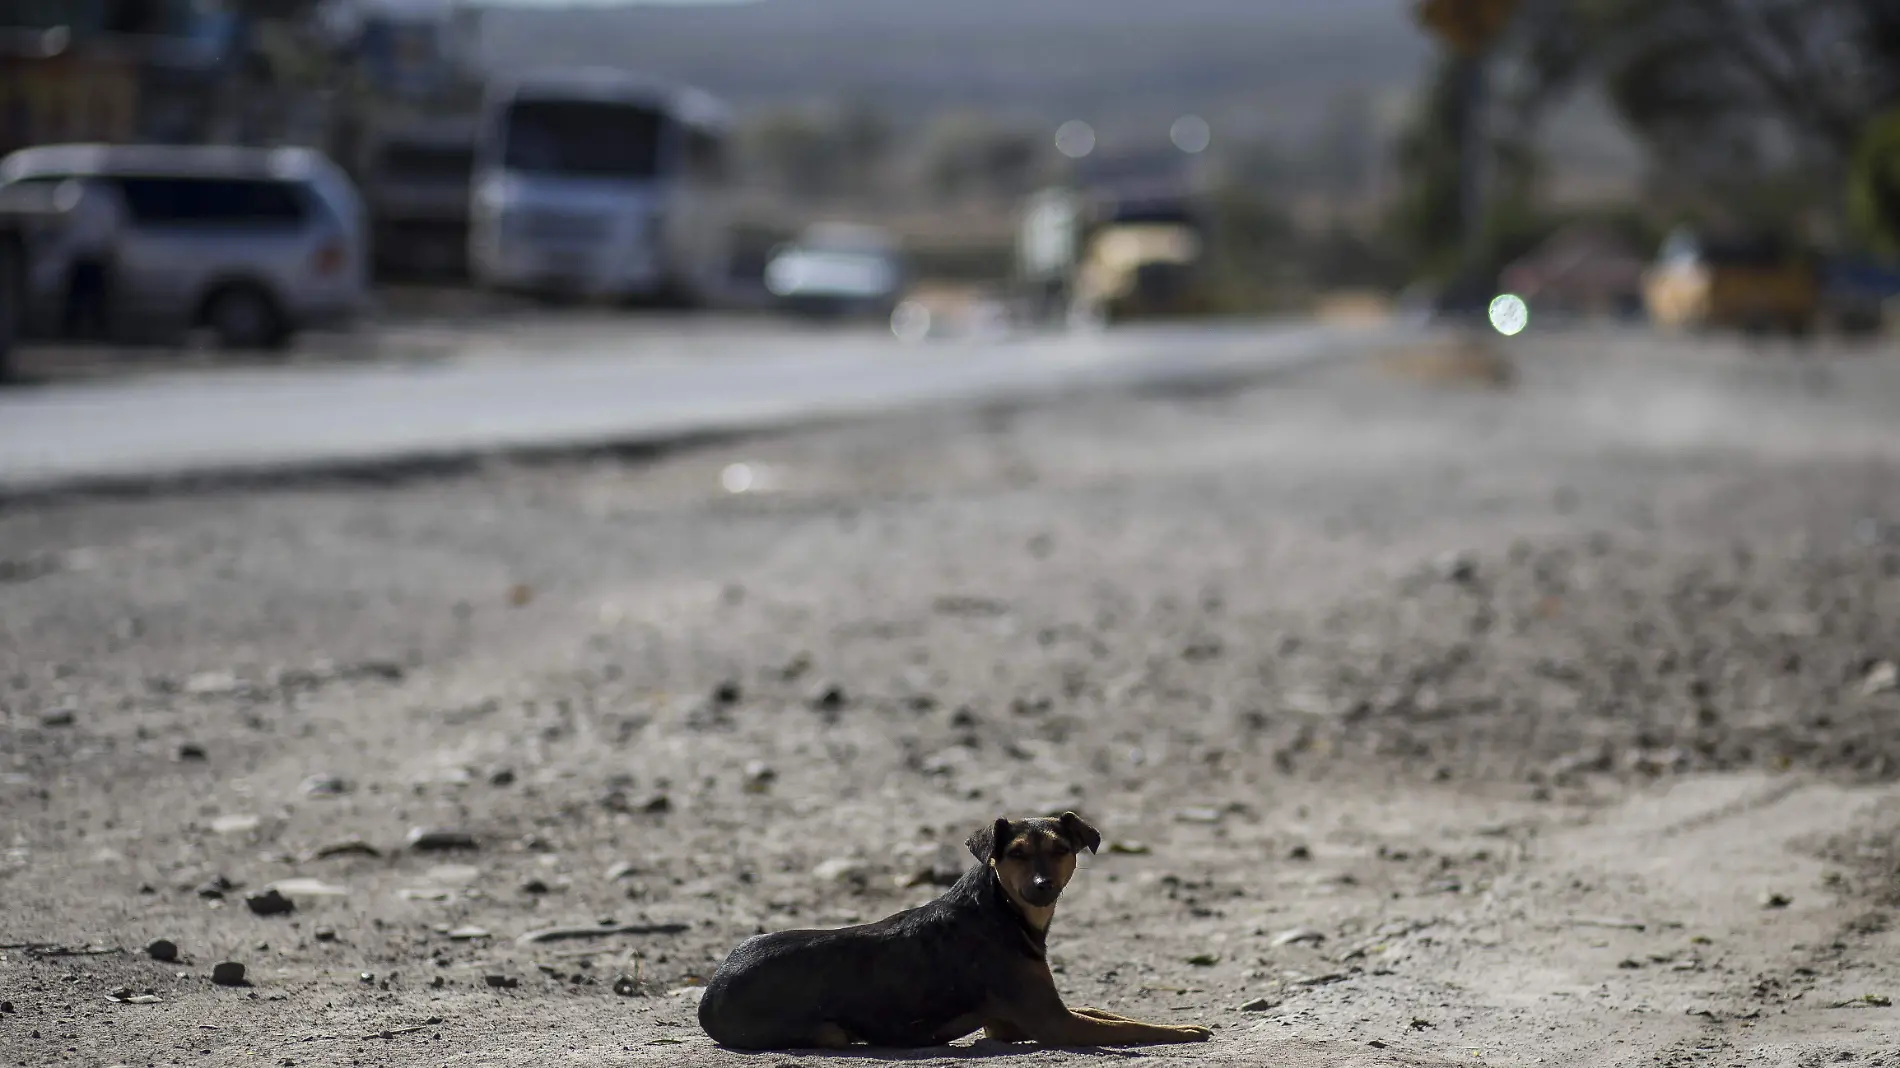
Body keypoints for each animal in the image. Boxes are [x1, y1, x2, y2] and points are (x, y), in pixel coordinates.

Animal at [699, 809, 1216, 1041]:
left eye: (1061, 850)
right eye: (1017, 855)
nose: (1043, 885)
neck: (1002, 910)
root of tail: (708, 997)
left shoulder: (1024, 1018)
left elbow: (1110, 1013)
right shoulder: (1054, 1023)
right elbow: (1139, 1028)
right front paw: (1186, 1030)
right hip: (826, 1031)